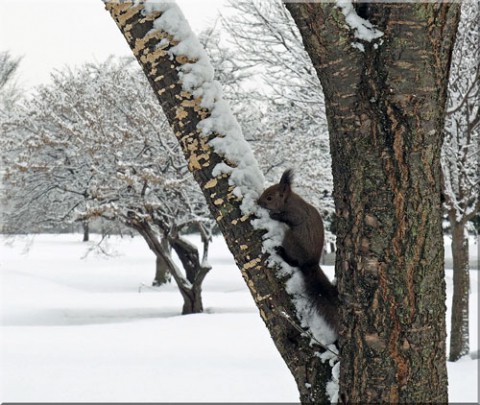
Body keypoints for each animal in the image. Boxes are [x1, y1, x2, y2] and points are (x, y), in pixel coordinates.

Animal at [256, 169, 340, 332]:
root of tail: (310, 263)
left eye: (269, 197)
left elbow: (287, 217)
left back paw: (282, 252)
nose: (258, 202)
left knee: (294, 262)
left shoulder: (296, 213)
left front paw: (273, 215)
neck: (288, 201)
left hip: (291, 240)